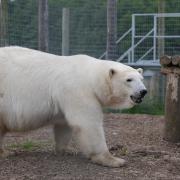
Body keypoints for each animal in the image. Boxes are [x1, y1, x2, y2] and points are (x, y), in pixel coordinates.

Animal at [0, 46, 146, 167]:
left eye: (141, 79)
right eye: (129, 79)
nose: (143, 91)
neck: (90, 77)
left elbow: (63, 125)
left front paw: (67, 150)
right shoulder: (78, 90)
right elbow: (88, 123)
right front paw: (113, 160)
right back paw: (5, 152)